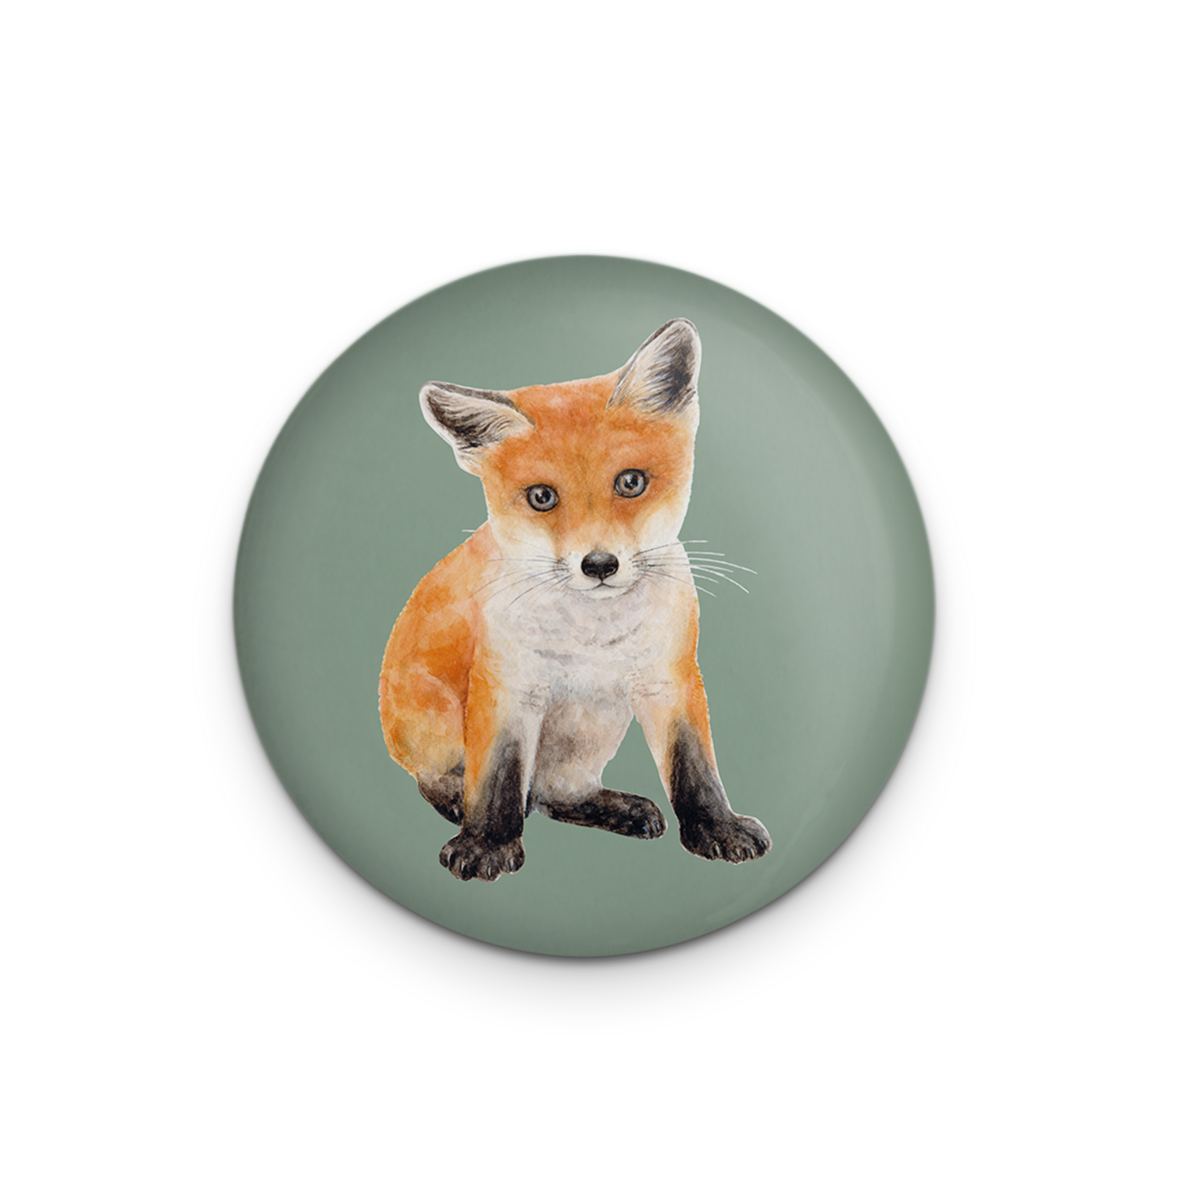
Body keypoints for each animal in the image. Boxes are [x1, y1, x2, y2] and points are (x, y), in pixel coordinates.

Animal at [378, 318, 772, 881]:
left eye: (631, 482)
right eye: (542, 497)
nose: (600, 565)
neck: (592, 636)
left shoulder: (671, 678)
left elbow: (694, 768)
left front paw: (717, 828)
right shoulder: (507, 686)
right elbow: (496, 776)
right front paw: (486, 842)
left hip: (590, 734)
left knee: (553, 793)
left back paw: (614, 807)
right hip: (430, 721)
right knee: (449, 779)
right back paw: (456, 799)